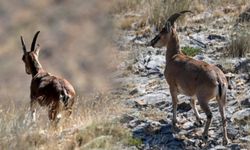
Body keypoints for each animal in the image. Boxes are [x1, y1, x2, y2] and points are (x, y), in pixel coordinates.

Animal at [148, 11, 229, 145]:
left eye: (161, 33)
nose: (152, 43)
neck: (174, 57)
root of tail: (218, 79)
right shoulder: (192, 92)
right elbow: (191, 102)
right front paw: (198, 120)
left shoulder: (172, 86)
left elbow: (175, 102)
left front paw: (174, 123)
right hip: (221, 99)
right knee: (224, 117)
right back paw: (225, 140)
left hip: (204, 99)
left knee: (210, 115)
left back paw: (205, 135)